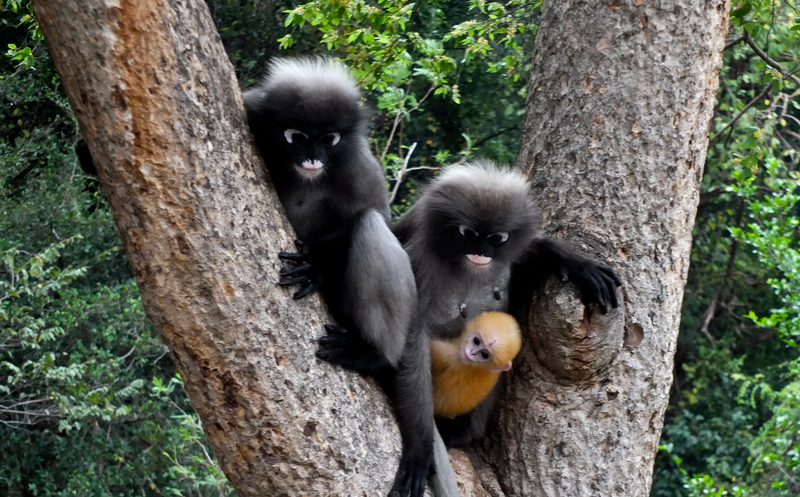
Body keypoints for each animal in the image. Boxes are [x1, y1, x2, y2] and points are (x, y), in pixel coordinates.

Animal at [242, 58, 456, 496]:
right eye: (296, 136)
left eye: (329, 139)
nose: (312, 160)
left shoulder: (360, 165)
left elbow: (375, 219)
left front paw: (318, 266)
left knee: (370, 226)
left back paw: (371, 354)